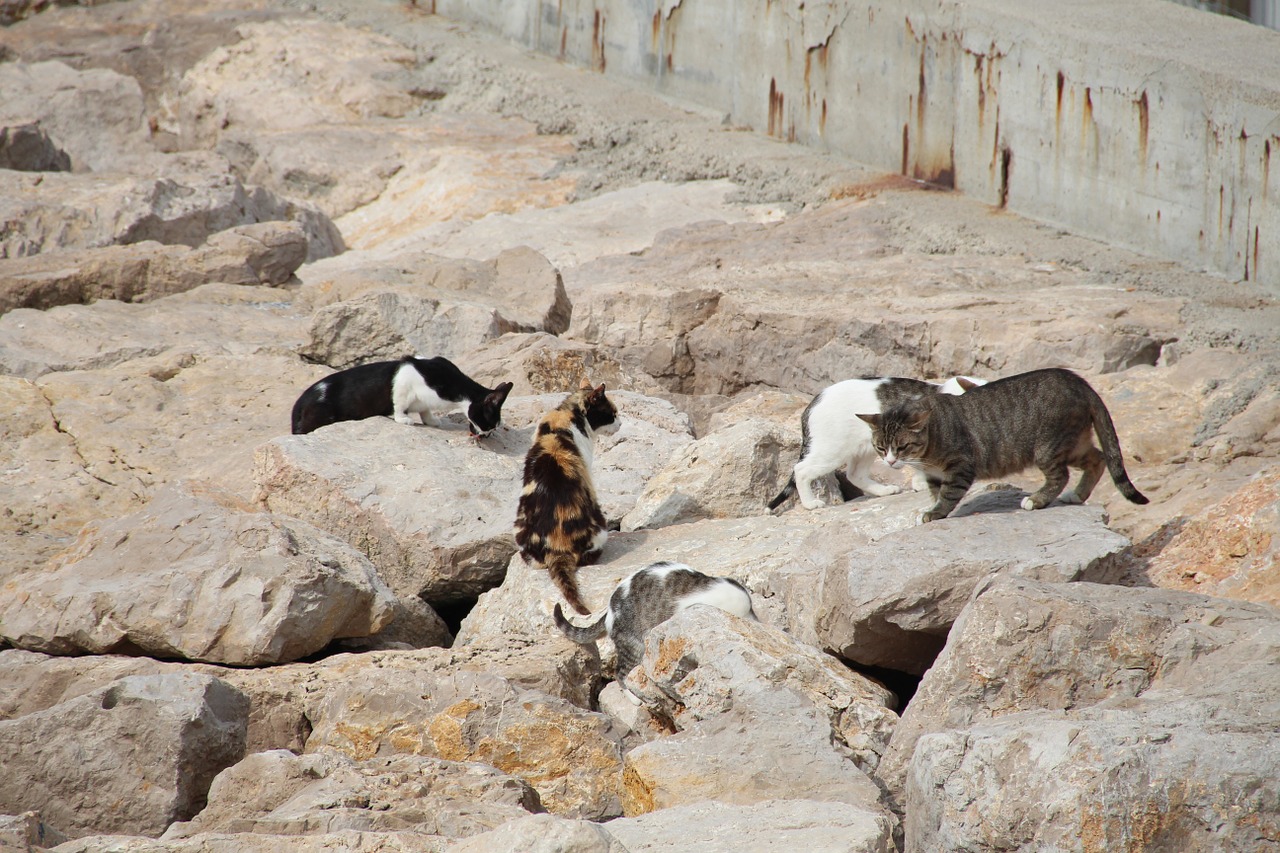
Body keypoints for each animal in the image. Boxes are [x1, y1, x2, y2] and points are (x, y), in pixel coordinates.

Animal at [288, 353, 512, 435]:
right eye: (490, 424)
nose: (487, 435)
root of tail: (300, 402)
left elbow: (425, 410)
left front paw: (431, 420)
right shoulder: (406, 379)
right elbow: (400, 404)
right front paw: (404, 419)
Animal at [762, 371, 983, 504]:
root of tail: (814, 401)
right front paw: (922, 483)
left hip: (867, 447)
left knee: (854, 475)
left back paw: (883, 491)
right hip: (832, 451)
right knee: (801, 470)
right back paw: (810, 503)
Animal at [860, 366, 1152, 517]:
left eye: (901, 446)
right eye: (880, 447)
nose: (890, 461)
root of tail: (1077, 379)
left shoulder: (960, 466)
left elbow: (948, 494)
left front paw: (936, 512)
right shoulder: (934, 474)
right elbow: (935, 492)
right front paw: (933, 505)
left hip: (1048, 446)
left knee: (1061, 476)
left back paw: (1036, 500)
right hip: (1074, 443)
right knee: (1098, 458)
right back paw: (1077, 495)